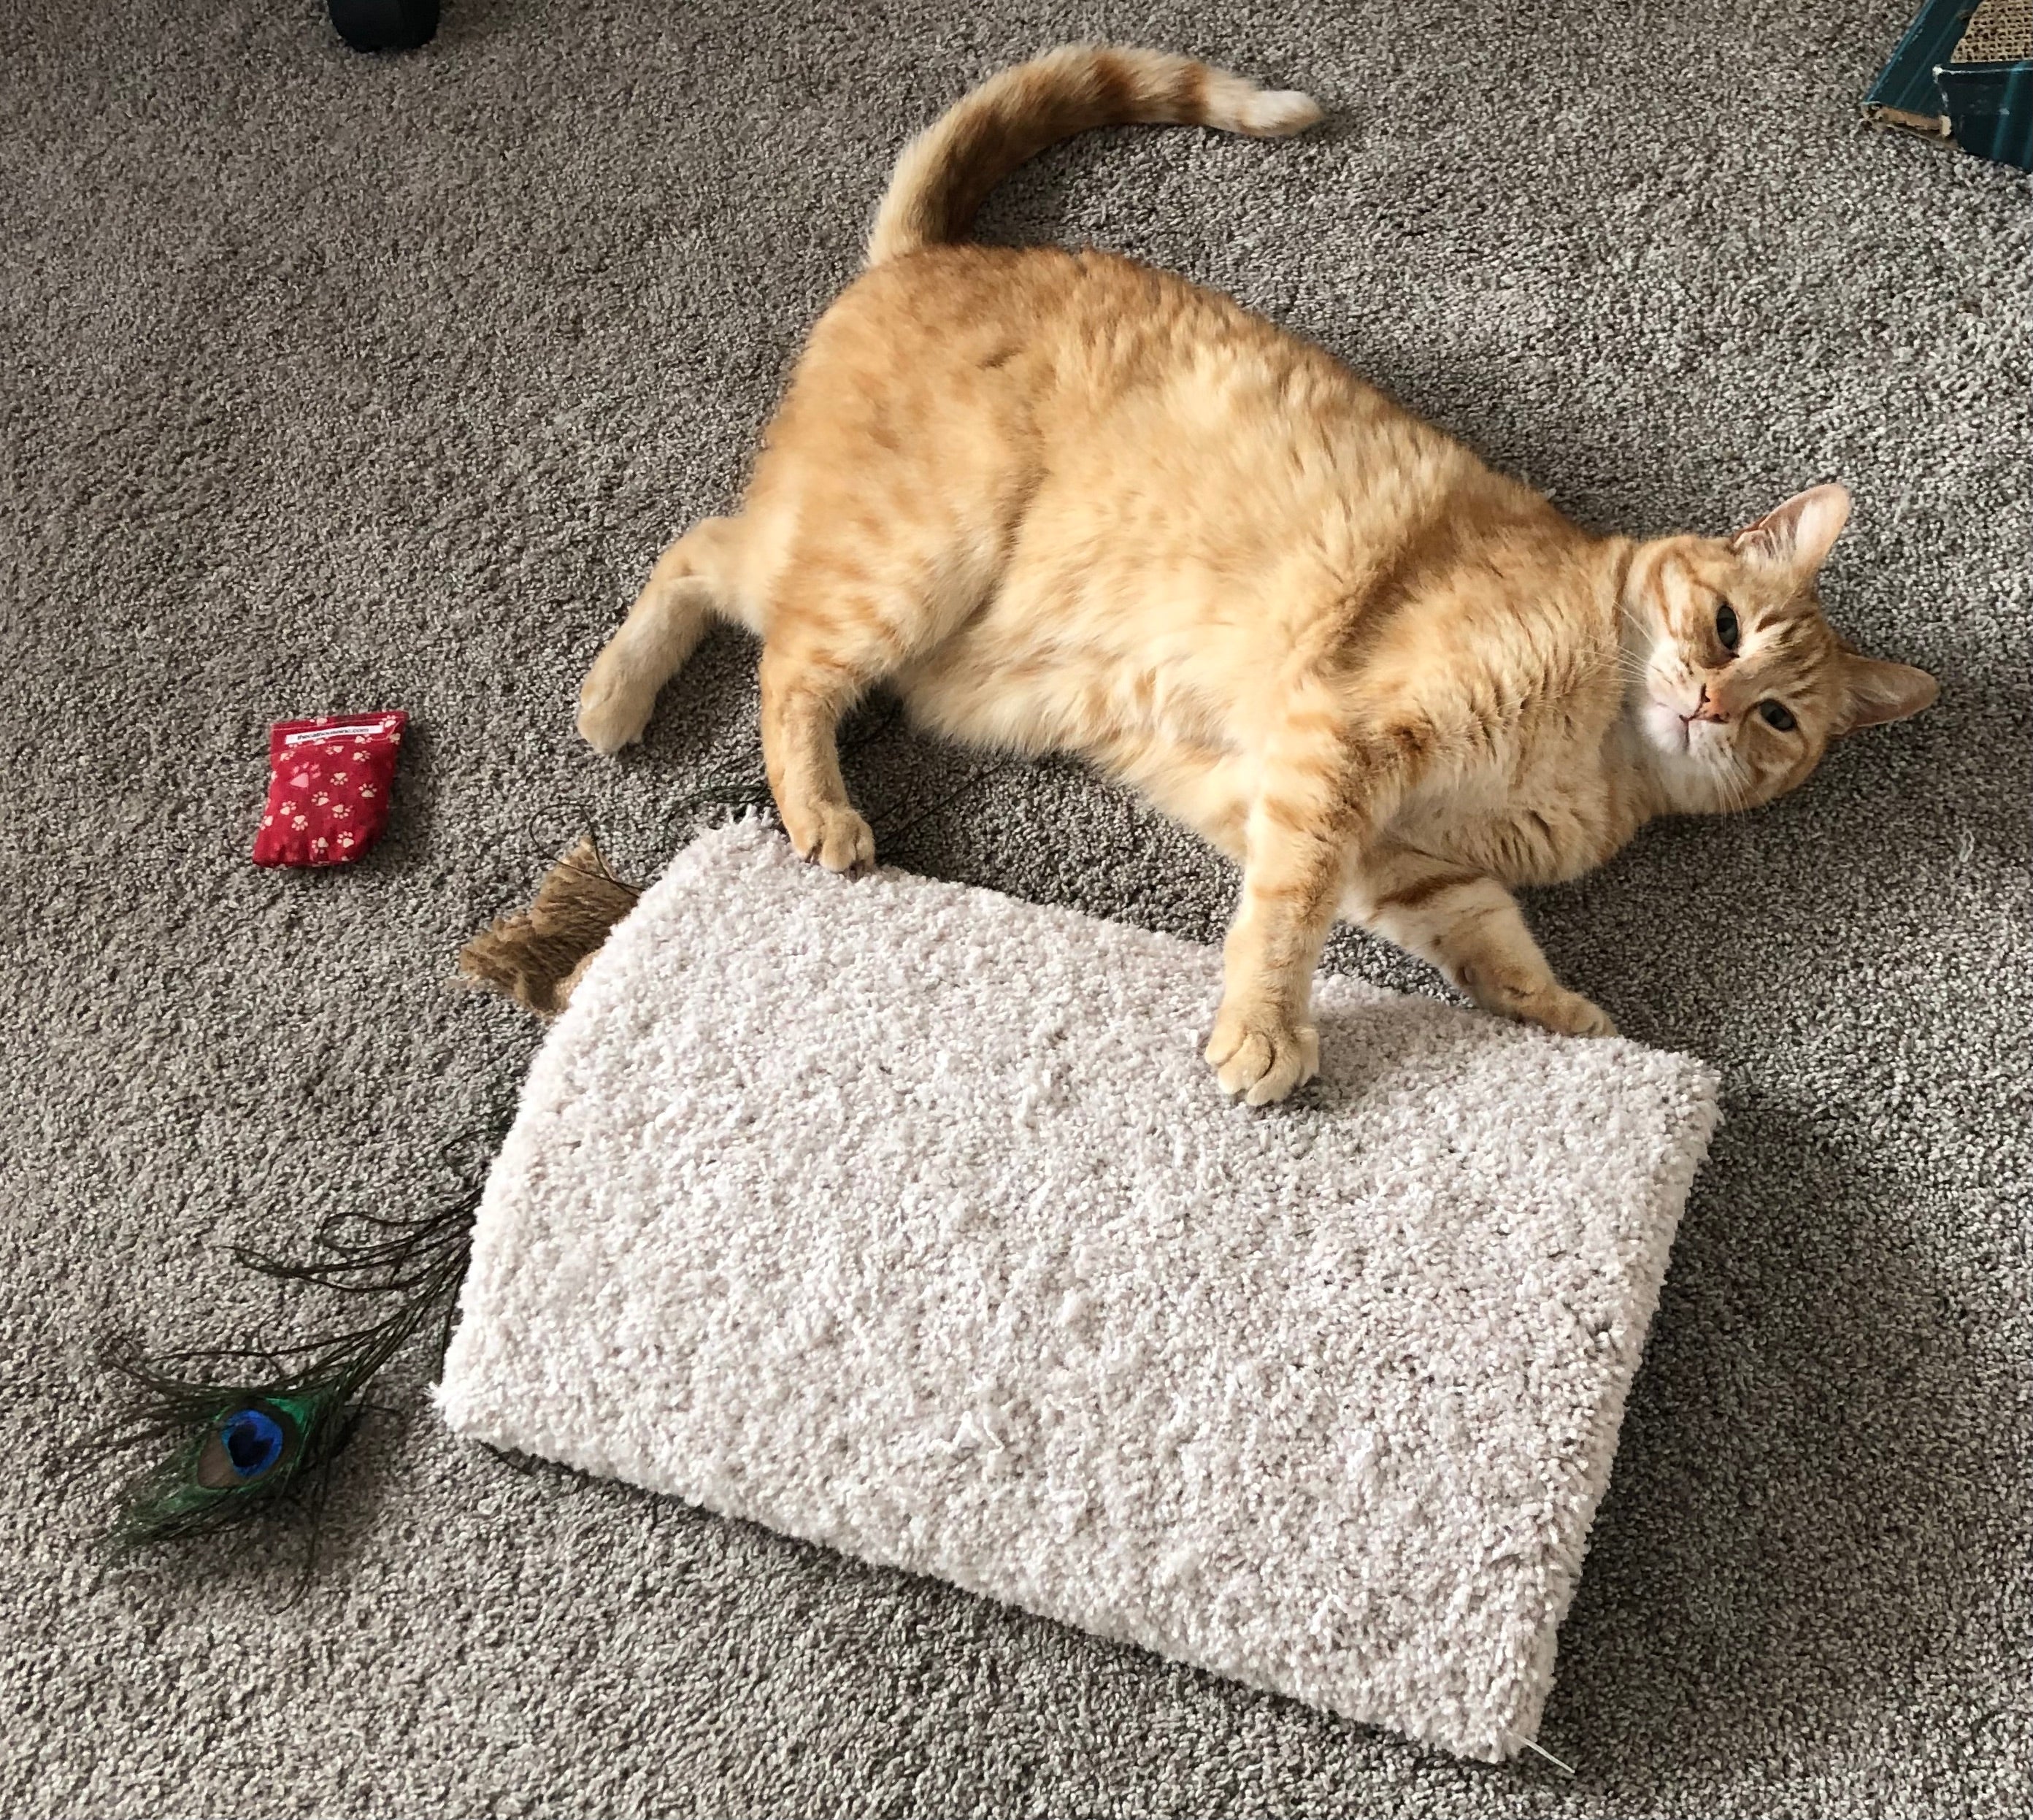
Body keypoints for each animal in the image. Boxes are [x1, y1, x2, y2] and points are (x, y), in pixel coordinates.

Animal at [585, 50, 1935, 1106]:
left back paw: (614, 696)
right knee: (784, 662)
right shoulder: (1343, 753)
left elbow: (1483, 931)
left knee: (708, 554)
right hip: (915, 563)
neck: (1596, 761)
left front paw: (1556, 1013)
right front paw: (1266, 1035)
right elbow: (1284, 920)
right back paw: (802, 801)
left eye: (1777, 717)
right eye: (1724, 626)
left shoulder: (1403, 850)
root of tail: (933, 255)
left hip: (896, 601)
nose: (1710, 702)